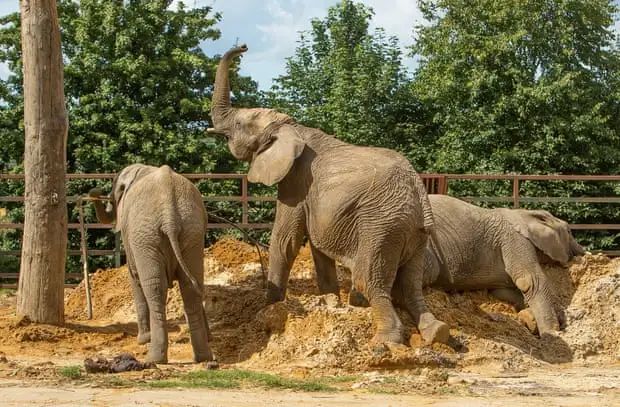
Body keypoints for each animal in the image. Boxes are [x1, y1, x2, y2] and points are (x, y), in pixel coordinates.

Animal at [88, 164, 216, 364]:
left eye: (115, 195)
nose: (96, 191)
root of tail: (170, 215)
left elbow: (134, 277)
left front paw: (142, 340)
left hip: (145, 237)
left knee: (154, 287)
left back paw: (154, 358)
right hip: (192, 232)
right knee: (191, 286)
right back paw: (203, 357)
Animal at [208, 44, 450, 344]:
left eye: (239, 123)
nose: (243, 46)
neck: (292, 127)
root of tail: (418, 190)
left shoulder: (295, 181)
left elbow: (285, 240)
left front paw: (267, 312)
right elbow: (316, 245)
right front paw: (330, 303)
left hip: (381, 226)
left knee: (368, 279)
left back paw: (386, 341)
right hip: (417, 233)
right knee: (410, 284)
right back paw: (436, 331)